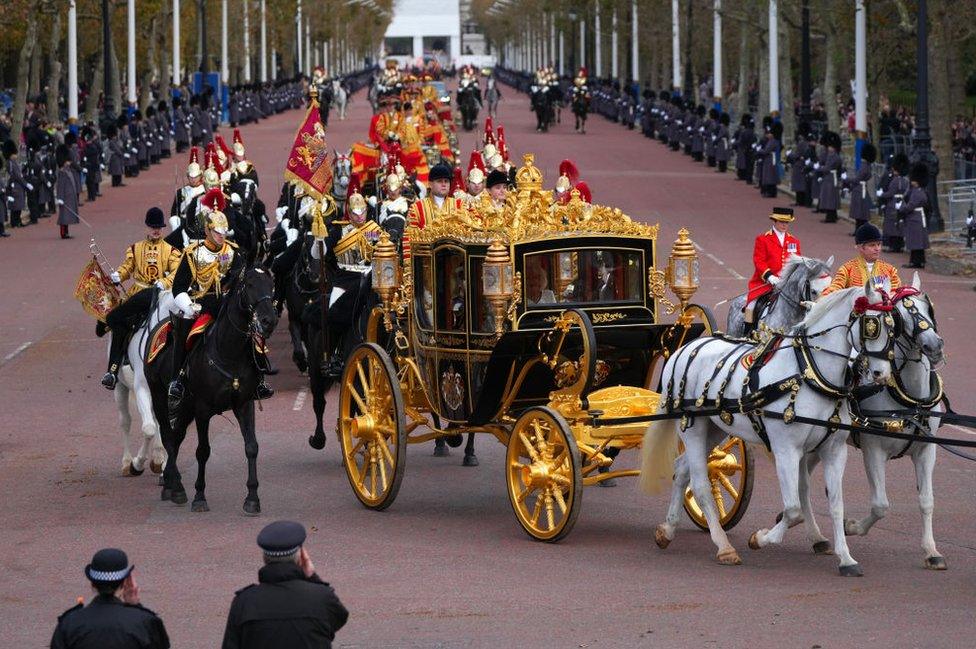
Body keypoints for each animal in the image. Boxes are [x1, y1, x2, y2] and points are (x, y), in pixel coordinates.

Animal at [110, 288, 191, 476]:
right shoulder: (142, 388)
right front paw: (137, 464)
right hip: (120, 387)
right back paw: (127, 463)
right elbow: (148, 428)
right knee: (126, 422)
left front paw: (164, 466)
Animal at [148, 266, 278, 512]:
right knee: (169, 437)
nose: (269, 321)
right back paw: (176, 487)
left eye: (271, 285)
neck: (229, 353)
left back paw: (171, 485)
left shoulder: (245, 404)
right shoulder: (202, 409)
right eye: (249, 285)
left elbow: (251, 446)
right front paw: (200, 496)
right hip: (161, 399)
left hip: (185, 408)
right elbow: (203, 451)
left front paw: (252, 498)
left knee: (176, 438)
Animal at [640, 284, 900, 572]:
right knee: (700, 485)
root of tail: (684, 348)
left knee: (682, 469)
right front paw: (760, 538)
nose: (881, 374)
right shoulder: (787, 450)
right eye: (872, 325)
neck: (810, 375)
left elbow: (835, 505)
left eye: (895, 326)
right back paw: (723, 547)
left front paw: (846, 558)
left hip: (715, 428)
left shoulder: (833, 451)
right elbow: (793, 509)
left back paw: (667, 530)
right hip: (693, 428)